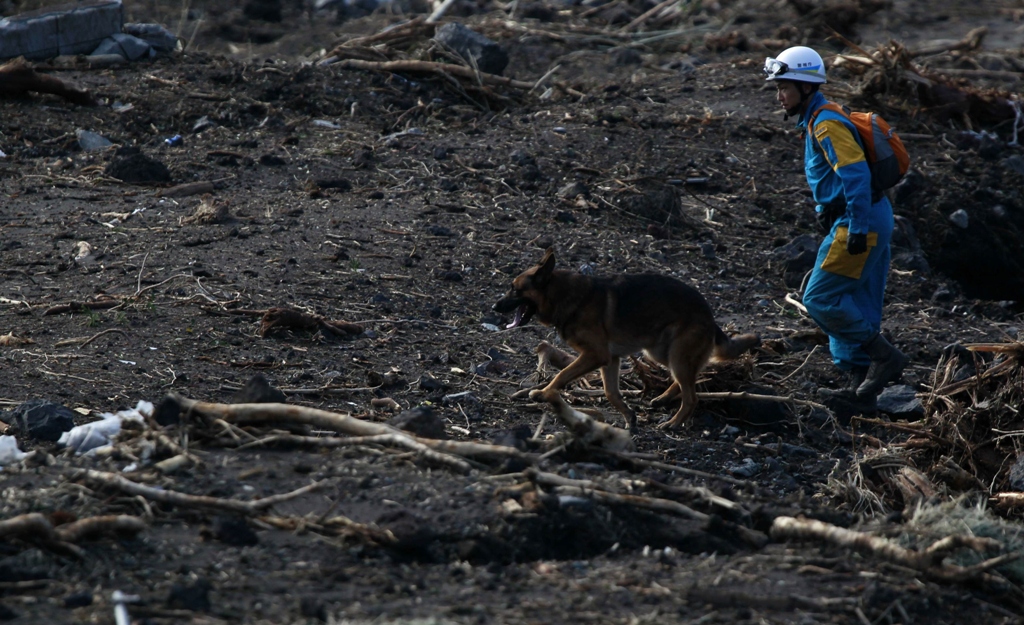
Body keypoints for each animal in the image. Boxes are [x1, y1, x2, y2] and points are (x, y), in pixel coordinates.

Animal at [495, 247, 761, 428]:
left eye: (514, 289)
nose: (494, 307)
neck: (563, 295)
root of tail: (709, 314)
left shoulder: (595, 355)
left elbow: (561, 374)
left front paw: (543, 393)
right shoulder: (610, 360)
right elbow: (611, 392)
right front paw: (628, 415)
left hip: (675, 355)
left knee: (692, 397)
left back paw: (673, 423)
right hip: (661, 353)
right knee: (691, 379)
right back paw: (663, 398)